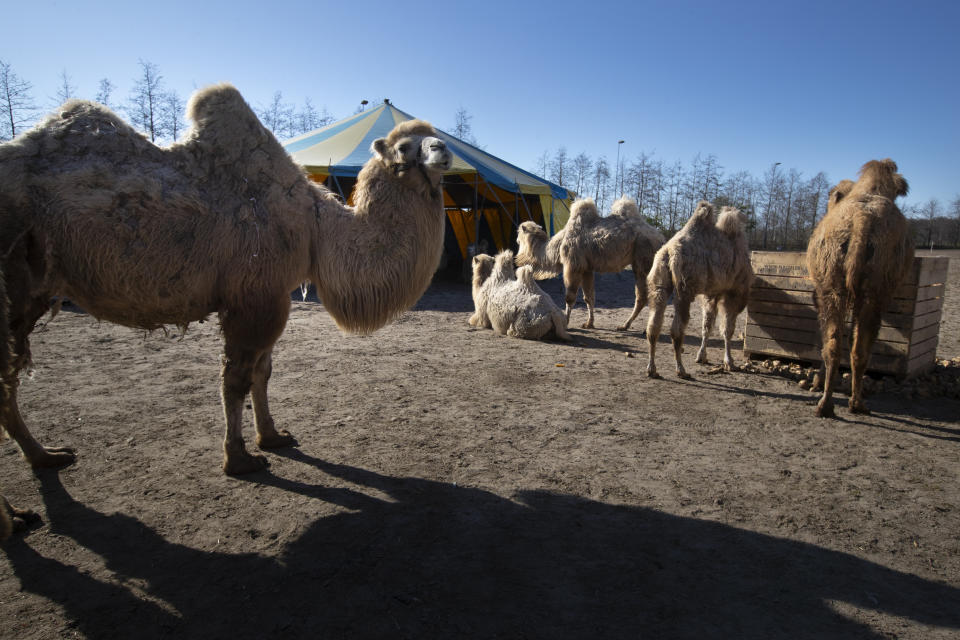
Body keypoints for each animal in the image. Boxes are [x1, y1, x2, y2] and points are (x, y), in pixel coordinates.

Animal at [0, 82, 454, 476]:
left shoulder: (272, 295)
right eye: (404, 147)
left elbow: (263, 371)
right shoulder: (253, 298)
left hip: (30, 294)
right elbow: (236, 379)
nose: (444, 150)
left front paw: (273, 436)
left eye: (434, 137)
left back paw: (45, 457)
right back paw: (27, 497)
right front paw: (239, 460)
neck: (315, 226)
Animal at [512, 196, 664, 330]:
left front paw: (566, 323)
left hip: (643, 258)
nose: (516, 240)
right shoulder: (586, 268)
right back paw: (629, 326)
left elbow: (569, 297)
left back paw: (628, 326)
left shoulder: (573, 265)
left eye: (519, 232)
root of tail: (661, 238)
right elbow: (589, 297)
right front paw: (589, 324)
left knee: (645, 295)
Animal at [640, 202, 752, 378]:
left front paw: (702, 357)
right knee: (677, 330)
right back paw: (681, 369)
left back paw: (652, 369)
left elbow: (707, 326)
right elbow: (727, 329)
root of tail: (670, 251)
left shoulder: (711, 294)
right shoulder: (732, 294)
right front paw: (729, 362)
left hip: (659, 284)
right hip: (685, 290)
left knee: (653, 326)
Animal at [808, 159, 912, 418]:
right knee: (859, 347)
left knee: (836, 346)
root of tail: (862, 222)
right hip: (871, 292)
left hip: (835, 288)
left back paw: (826, 404)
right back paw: (856, 403)